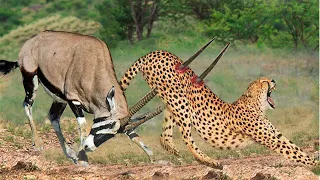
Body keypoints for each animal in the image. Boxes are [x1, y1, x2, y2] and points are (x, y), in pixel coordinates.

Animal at [120, 46, 318, 169]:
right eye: (263, 82)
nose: (273, 80)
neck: (255, 105)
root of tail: (157, 52)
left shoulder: (275, 135)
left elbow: (294, 147)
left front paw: (314, 160)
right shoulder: (270, 139)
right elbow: (293, 151)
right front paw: (316, 165)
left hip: (171, 101)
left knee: (164, 136)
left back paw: (175, 151)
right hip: (179, 101)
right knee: (187, 138)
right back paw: (210, 162)